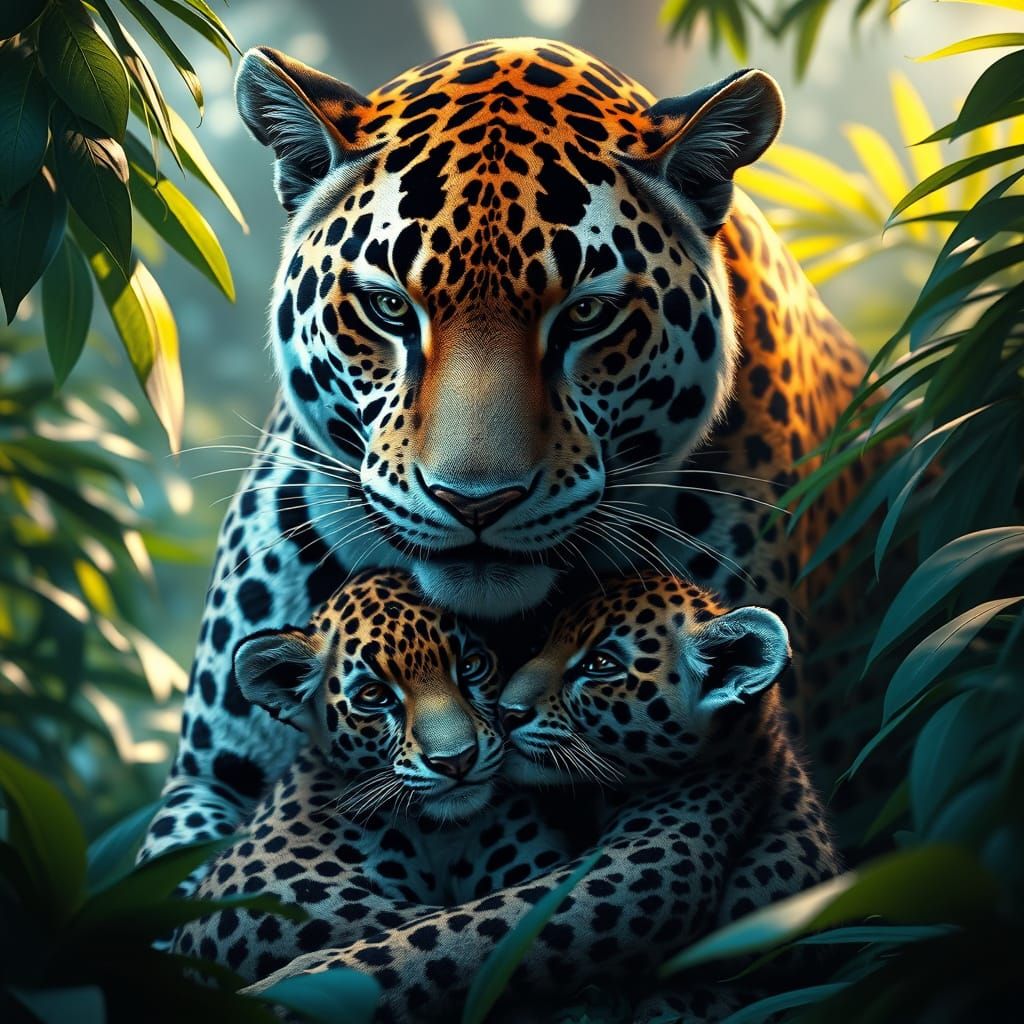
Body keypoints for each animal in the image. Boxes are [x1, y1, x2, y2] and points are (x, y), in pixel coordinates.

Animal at [243, 573, 840, 1023]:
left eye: (600, 665)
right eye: (535, 645)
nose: (458, 758)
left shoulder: (653, 872)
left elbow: (469, 932)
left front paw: (295, 985)